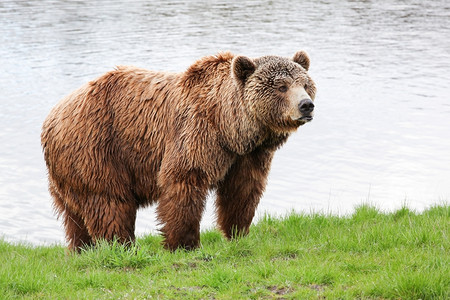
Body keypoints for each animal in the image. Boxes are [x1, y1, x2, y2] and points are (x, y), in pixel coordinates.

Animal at [41, 51, 316, 251]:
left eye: (305, 84)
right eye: (281, 86)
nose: (306, 105)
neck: (230, 127)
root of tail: (52, 117)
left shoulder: (247, 156)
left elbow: (242, 191)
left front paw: (238, 233)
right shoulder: (196, 132)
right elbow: (184, 181)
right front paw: (184, 244)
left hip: (68, 172)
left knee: (75, 217)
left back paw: (82, 249)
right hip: (96, 148)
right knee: (109, 202)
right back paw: (121, 246)